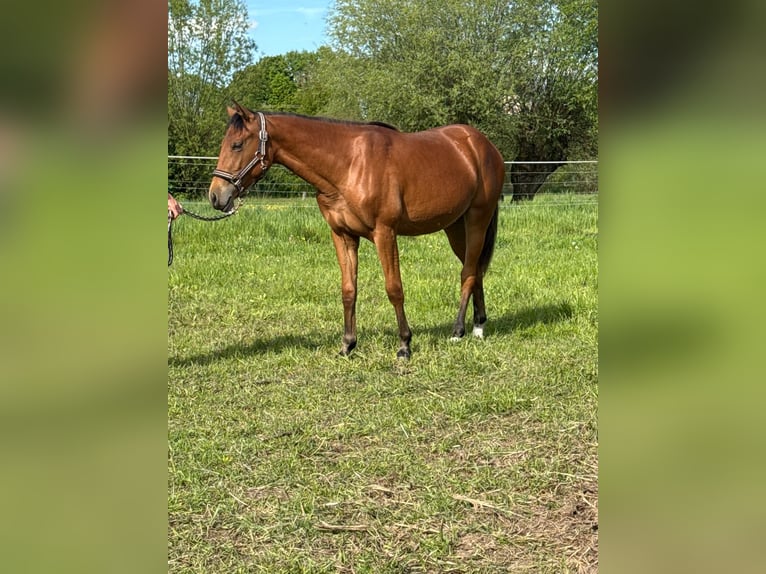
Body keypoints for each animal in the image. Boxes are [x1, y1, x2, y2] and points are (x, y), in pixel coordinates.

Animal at [209, 102, 505, 359]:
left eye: (237, 145)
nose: (216, 196)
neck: (349, 164)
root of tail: (482, 145)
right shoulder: (343, 235)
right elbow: (348, 289)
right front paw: (348, 345)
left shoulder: (385, 233)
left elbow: (394, 288)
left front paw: (404, 345)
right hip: (455, 226)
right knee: (475, 269)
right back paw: (478, 325)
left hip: (477, 219)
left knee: (468, 272)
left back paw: (459, 330)